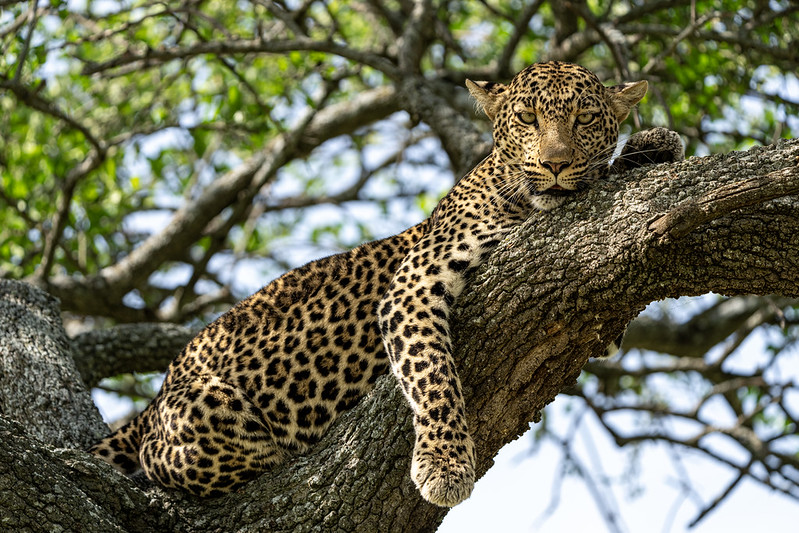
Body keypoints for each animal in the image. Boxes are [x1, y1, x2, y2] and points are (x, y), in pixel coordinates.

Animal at [90, 60, 684, 504]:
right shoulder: (415, 285)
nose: (557, 164)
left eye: (584, 120)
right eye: (528, 119)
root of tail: (155, 398)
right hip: (208, 410)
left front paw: (655, 144)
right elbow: (432, 374)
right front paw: (444, 465)